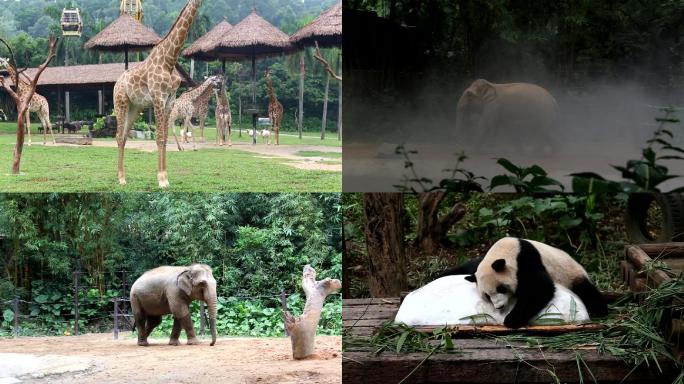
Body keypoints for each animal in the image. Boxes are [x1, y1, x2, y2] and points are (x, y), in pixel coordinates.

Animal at [112, 0, 202, 188]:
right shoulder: (158, 98)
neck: (170, 59)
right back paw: (121, 178)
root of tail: (117, 83)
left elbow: (165, 138)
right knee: (118, 136)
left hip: (135, 108)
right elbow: (159, 137)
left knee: (123, 136)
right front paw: (161, 179)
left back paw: (122, 176)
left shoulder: (170, 100)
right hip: (120, 103)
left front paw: (166, 177)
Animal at [444, 237, 608, 328]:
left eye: (501, 289)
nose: (499, 306)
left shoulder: (525, 262)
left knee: (588, 292)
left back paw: (601, 310)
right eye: (487, 296)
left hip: (571, 274)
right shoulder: (482, 263)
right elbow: (468, 267)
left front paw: (511, 320)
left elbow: (540, 289)